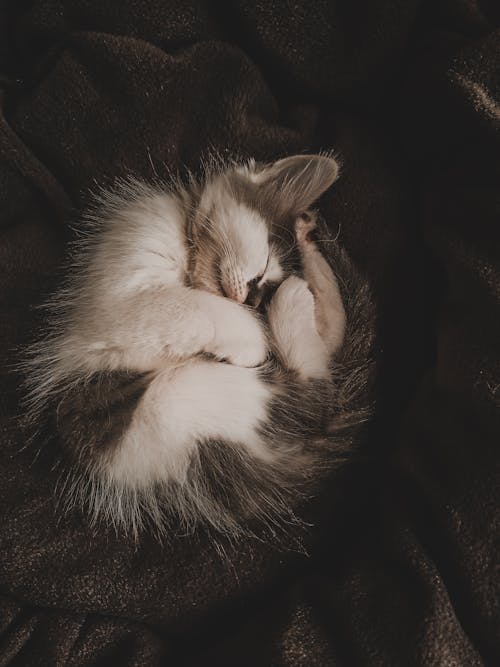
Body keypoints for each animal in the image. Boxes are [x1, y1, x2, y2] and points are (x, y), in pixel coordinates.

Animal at [23, 155, 376, 536]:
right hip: (170, 407)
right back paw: (297, 293)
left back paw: (305, 260)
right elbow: (196, 309)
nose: (252, 298)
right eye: (266, 265)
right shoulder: (123, 301)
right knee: (316, 388)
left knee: (322, 370)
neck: (188, 250)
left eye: (263, 294)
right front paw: (254, 339)